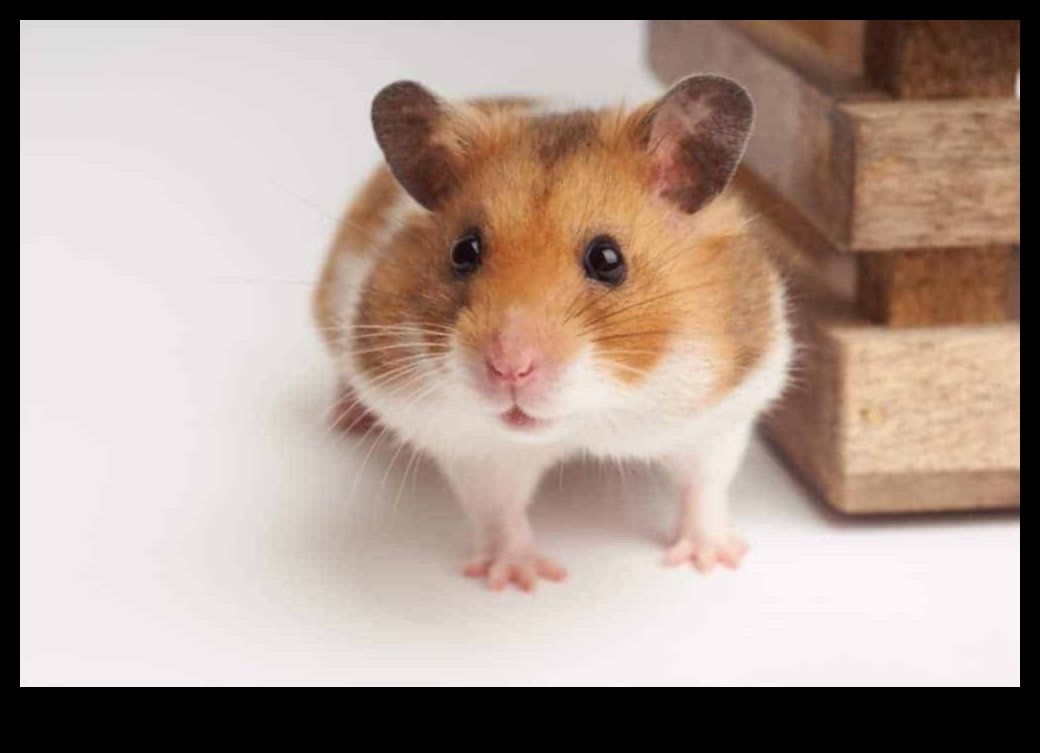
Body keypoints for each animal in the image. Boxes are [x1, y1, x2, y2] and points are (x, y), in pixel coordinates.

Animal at [314, 76, 792, 592]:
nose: (509, 368)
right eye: (464, 251)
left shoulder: (720, 412)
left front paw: (712, 561)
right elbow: (499, 512)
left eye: (607, 259)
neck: (588, 419)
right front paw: (520, 580)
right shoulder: (476, 447)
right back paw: (348, 419)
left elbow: (705, 485)